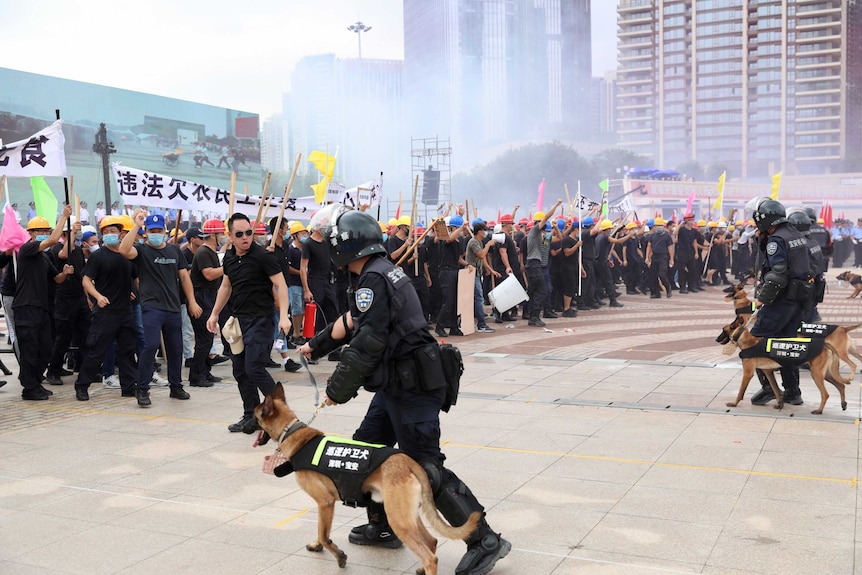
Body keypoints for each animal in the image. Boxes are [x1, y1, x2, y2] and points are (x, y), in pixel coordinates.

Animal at [253, 382, 482, 575]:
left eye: (253, 417)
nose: (244, 424)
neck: (292, 432)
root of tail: (409, 462)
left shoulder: (325, 502)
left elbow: (325, 535)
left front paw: (338, 555)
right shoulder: (323, 505)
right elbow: (320, 532)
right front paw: (318, 545)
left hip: (398, 520)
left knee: (429, 557)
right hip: (406, 514)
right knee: (432, 542)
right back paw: (420, 569)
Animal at [720, 316, 852, 414]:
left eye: (723, 330)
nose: (717, 339)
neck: (748, 340)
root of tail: (825, 345)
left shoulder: (747, 374)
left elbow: (740, 392)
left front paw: (734, 403)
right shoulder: (768, 373)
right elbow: (776, 390)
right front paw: (780, 405)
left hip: (817, 374)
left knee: (825, 394)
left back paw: (819, 410)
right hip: (825, 374)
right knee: (841, 386)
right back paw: (843, 404)